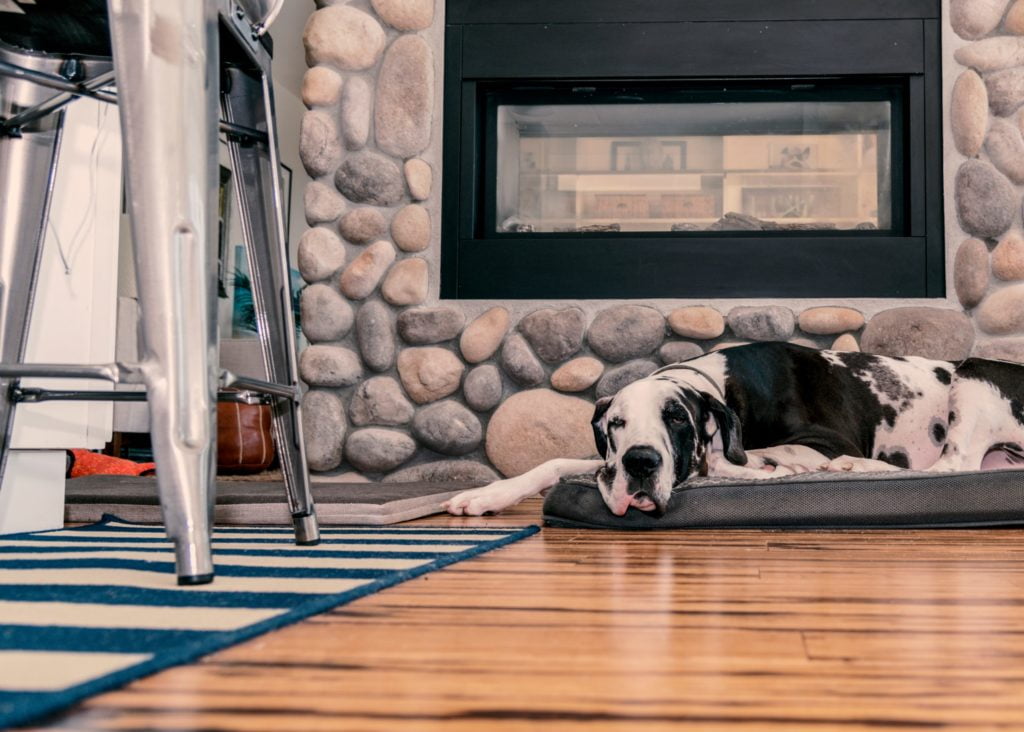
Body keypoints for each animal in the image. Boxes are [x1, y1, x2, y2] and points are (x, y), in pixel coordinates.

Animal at [444, 341, 1024, 518]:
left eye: (676, 418)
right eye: (616, 424)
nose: (640, 463)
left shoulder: (824, 437)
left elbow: (758, 454)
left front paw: (753, 468)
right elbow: (557, 463)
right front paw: (486, 495)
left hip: (974, 375)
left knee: (955, 465)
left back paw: (858, 468)